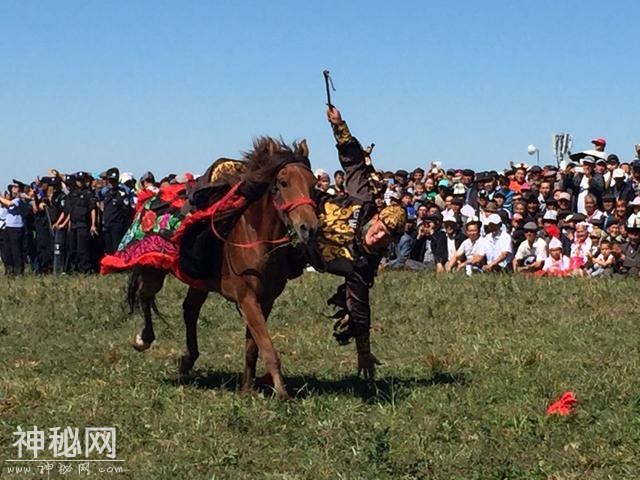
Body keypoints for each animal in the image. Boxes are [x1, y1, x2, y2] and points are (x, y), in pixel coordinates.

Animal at [124, 137, 318, 400]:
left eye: (313, 184)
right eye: (283, 182)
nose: (310, 228)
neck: (256, 238)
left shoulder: (265, 300)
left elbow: (252, 346)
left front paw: (246, 388)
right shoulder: (247, 298)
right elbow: (267, 347)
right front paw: (282, 393)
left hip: (199, 282)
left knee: (189, 309)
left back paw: (188, 358)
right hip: (153, 269)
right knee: (146, 295)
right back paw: (143, 339)